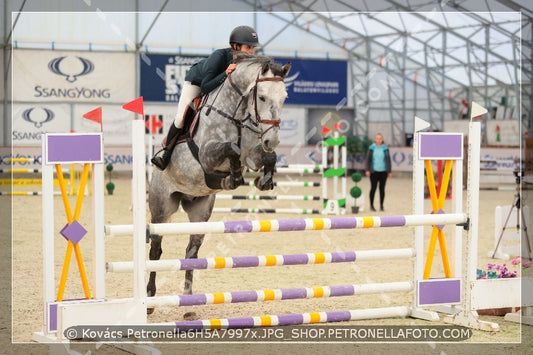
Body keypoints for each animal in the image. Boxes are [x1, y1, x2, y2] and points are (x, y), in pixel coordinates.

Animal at [147, 54, 290, 316]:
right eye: (262, 97)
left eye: (284, 97)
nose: (272, 140)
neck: (237, 114)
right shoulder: (207, 154)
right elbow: (231, 149)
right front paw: (232, 177)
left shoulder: (252, 154)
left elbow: (267, 157)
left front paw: (263, 180)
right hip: (162, 208)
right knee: (155, 249)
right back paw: (150, 301)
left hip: (200, 210)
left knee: (191, 251)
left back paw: (189, 305)